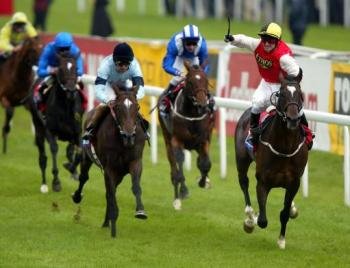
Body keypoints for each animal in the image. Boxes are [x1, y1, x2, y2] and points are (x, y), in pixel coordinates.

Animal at [30, 52, 84, 193]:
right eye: (61, 69)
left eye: (76, 69)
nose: (71, 91)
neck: (66, 106)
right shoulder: (50, 130)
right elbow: (54, 149)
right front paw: (56, 182)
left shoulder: (77, 132)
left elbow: (79, 152)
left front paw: (72, 169)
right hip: (38, 127)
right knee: (42, 157)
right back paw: (44, 184)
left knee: (70, 150)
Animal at [72, 84, 147, 239]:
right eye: (117, 107)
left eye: (137, 106)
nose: (129, 135)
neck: (123, 141)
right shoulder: (109, 168)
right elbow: (111, 194)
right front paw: (114, 220)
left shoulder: (135, 162)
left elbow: (135, 186)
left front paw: (140, 211)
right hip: (87, 157)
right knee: (84, 178)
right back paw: (77, 197)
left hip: (120, 173)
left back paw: (107, 221)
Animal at [157, 61, 215, 211]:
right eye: (190, 82)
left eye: (206, 81)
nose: (202, 104)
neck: (192, 114)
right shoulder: (177, 141)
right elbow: (180, 164)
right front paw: (183, 191)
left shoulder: (203, 140)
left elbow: (205, 163)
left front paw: (203, 182)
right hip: (167, 140)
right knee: (174, 170)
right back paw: (177, 199)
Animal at [235, 75, 306, 249]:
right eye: (282, 94)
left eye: (300, 94)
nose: (293, 119)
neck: (285, 147)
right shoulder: (263, 182)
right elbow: (262, 220)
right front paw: (252, 220)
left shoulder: (294, 183)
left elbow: (285, 213)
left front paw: (281, 240)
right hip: (241, 160)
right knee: (243, 182)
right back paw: (249, 216)